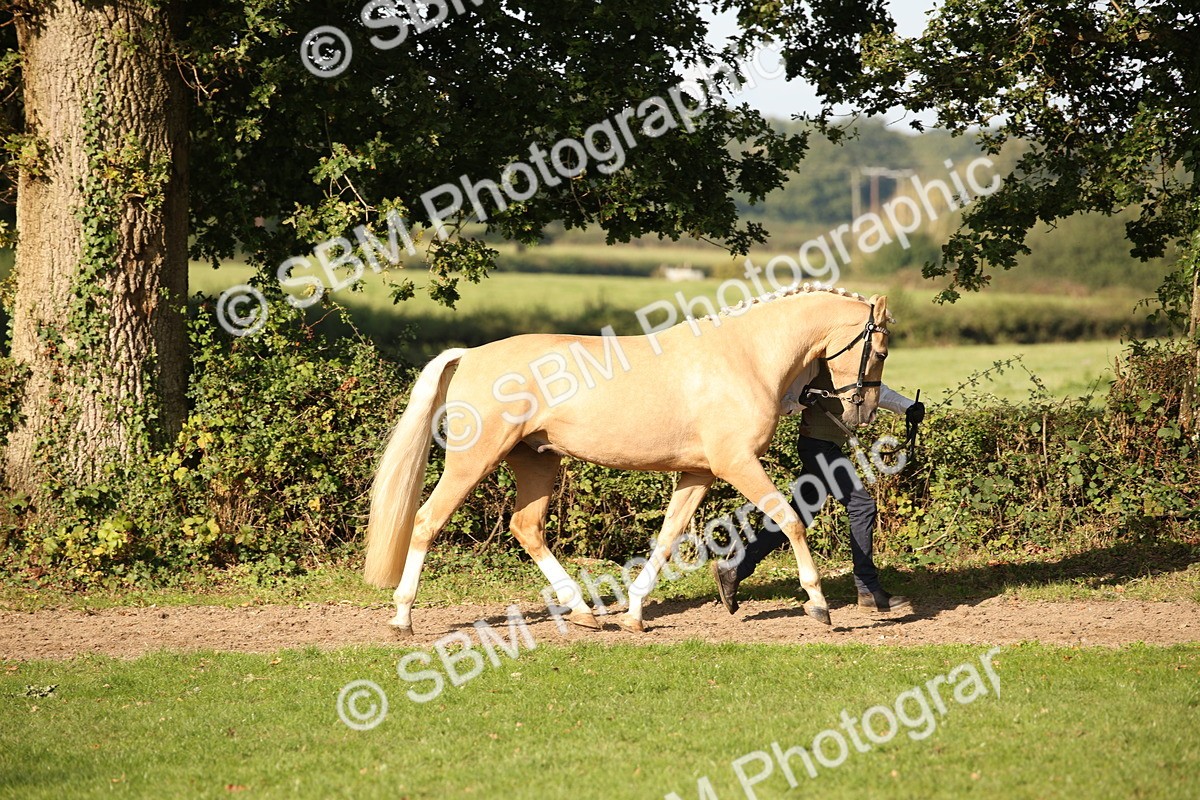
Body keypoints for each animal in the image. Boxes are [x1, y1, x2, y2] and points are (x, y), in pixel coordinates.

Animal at [364, 285, 891, 634]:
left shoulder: (698, 472)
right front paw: (818, 605)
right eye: (882, 350)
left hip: (536, 462)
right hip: (473, 461)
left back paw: (584, 613)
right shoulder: (736, 464)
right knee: (427, 521)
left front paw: (636, 613)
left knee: (526, 528)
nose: (861, 412)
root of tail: (469, 354)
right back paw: (403, 617)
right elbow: (790, 520)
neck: (746, 357)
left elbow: (669, 535)